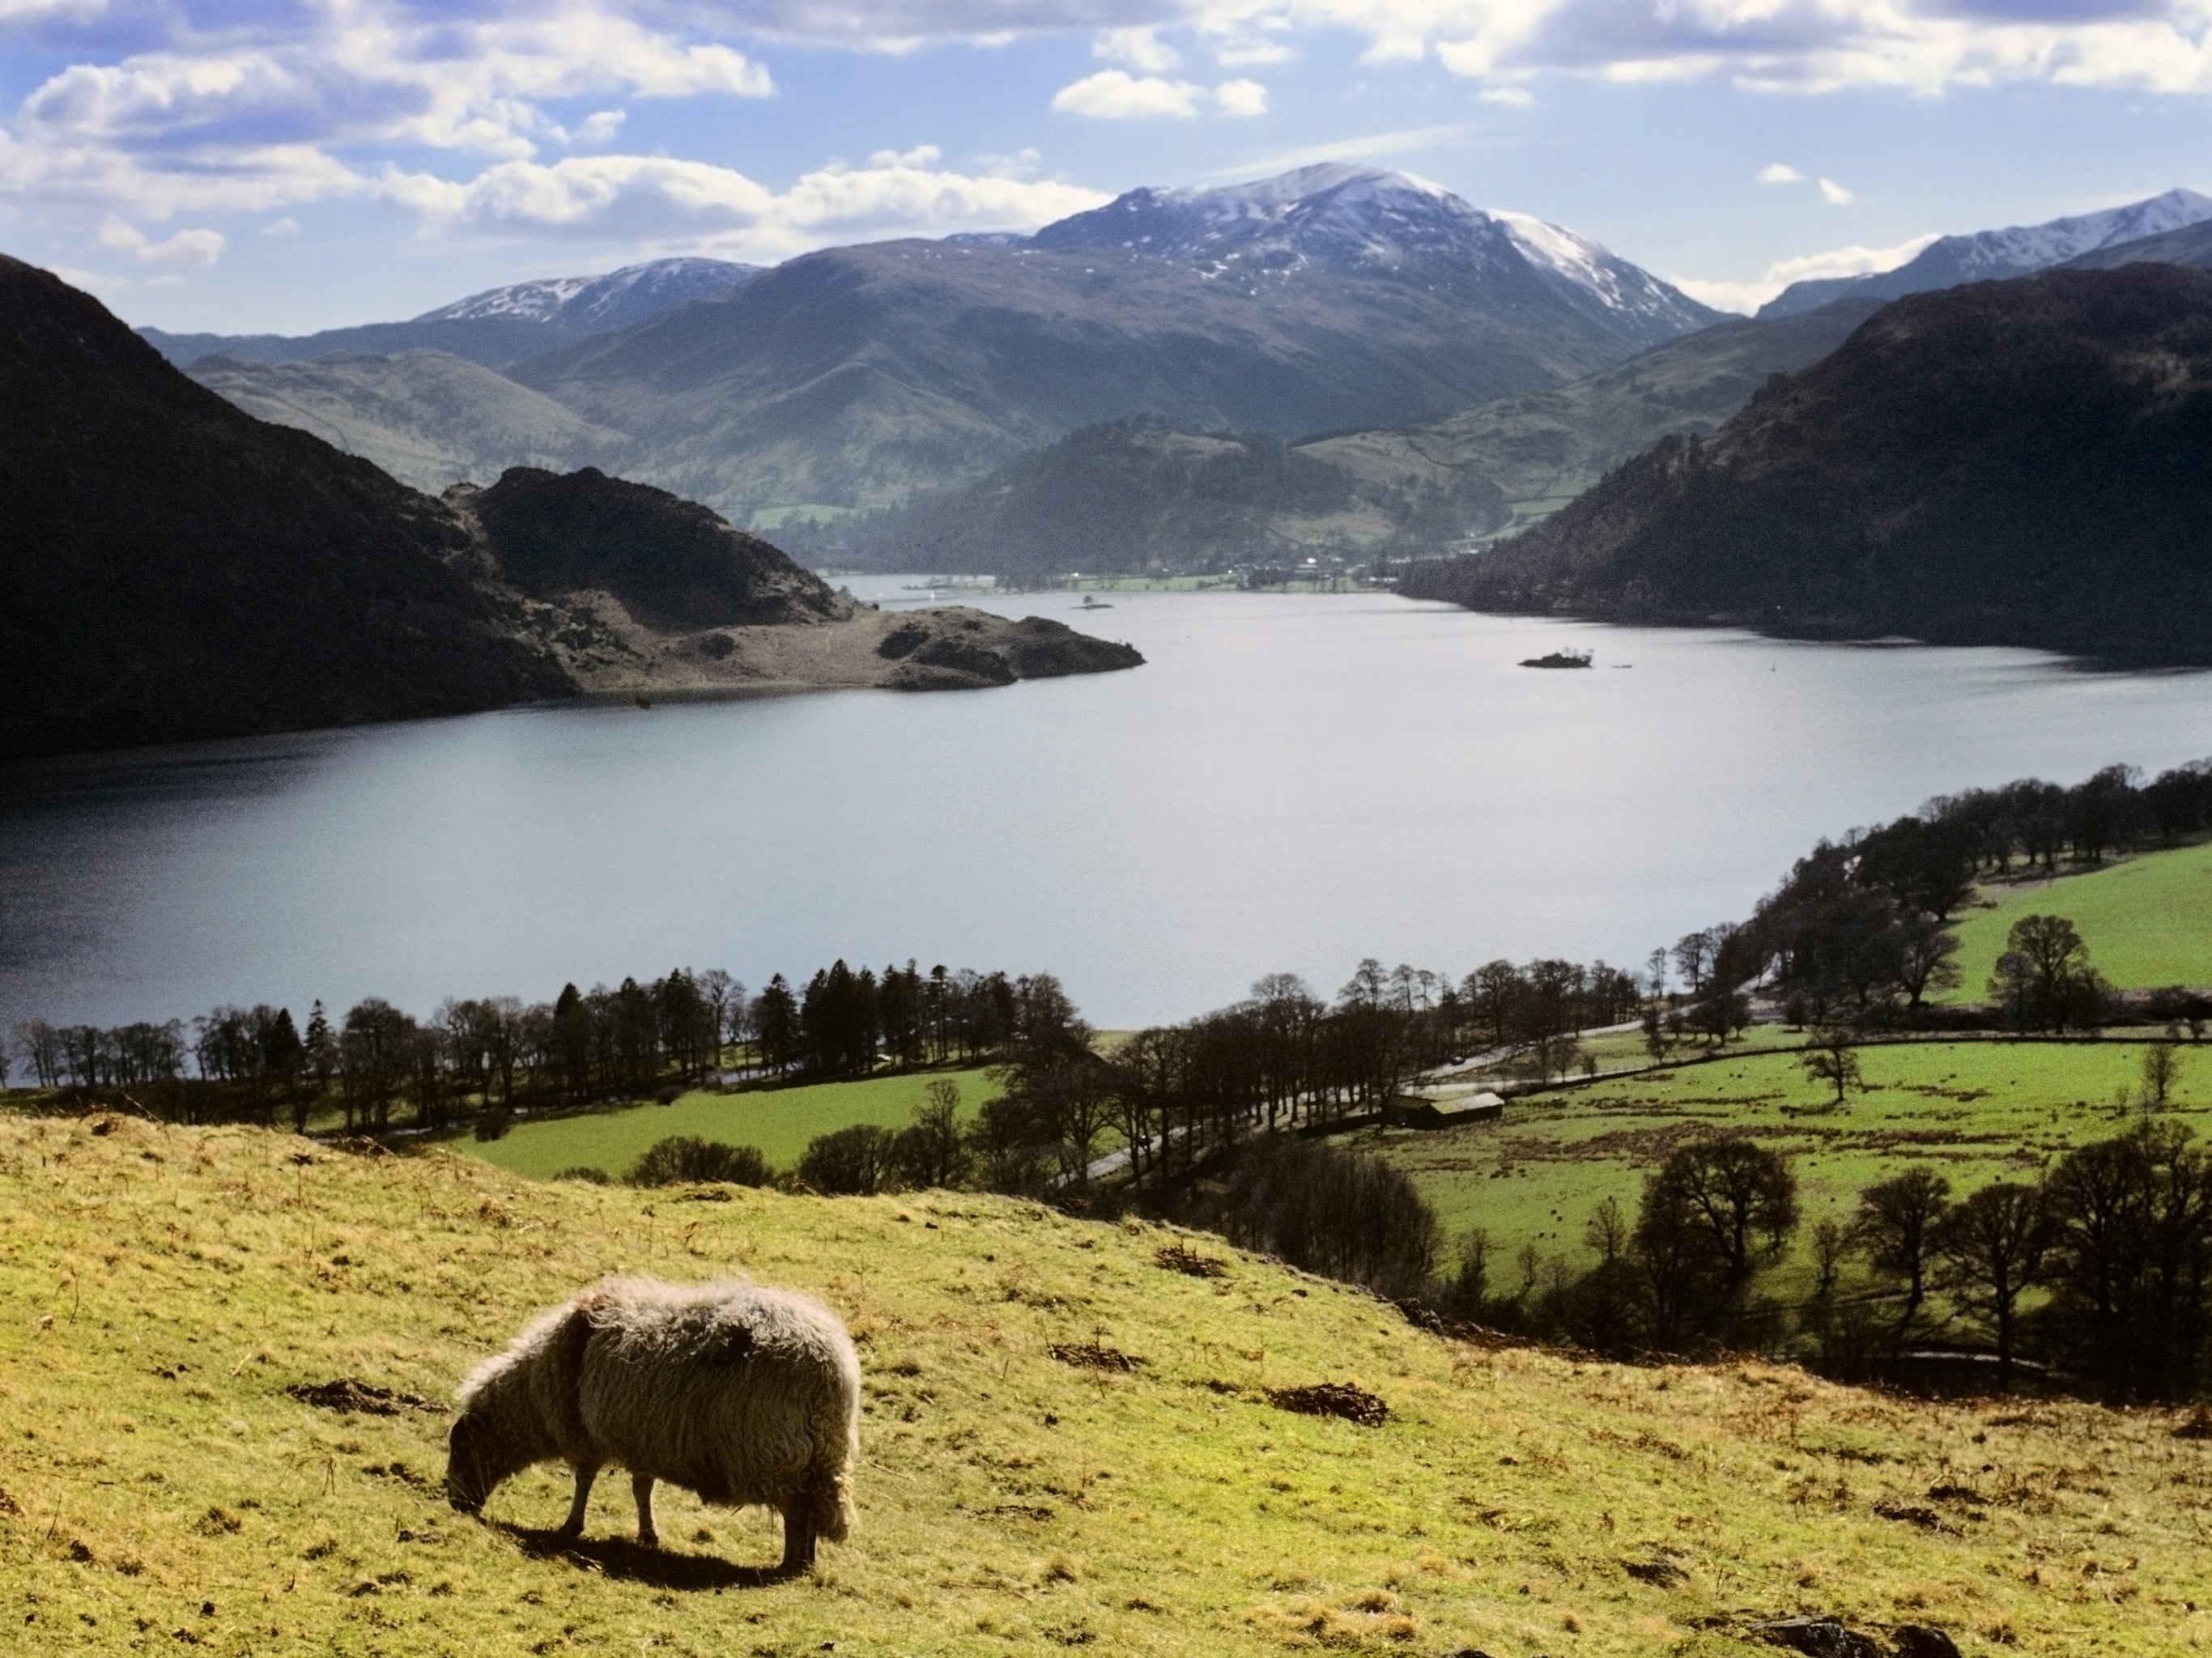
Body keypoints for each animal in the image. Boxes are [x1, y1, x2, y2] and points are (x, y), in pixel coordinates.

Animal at [445, 1282, 858, 1574]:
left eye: (462, 1448)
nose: (456, 1504)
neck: (534, 1394)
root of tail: (829, 1368)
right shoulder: (641, 1438)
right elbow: (642, 1489)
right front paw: (647, 1535)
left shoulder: (586, 1433)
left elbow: (584, 1480)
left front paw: (571, 1526)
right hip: (820, 1459)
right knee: (812, 1510)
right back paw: (805, 1562)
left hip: (776, 1455)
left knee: (797, 1512)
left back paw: (792, 1562)